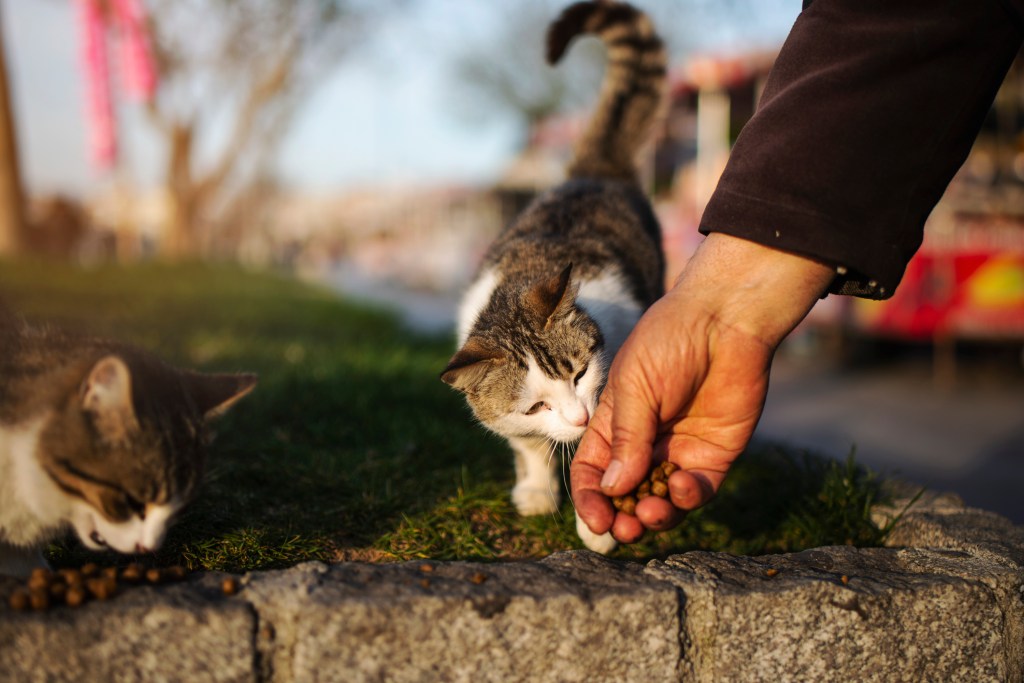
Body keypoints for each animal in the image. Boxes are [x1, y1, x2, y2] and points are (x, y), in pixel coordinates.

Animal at [442, 0, 667, 552]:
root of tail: (592, 173)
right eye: (535, 406)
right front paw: (538, 492)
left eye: (580, 374)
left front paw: (596, 529)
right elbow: (529, 448)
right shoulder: (511, 423)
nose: (581, 417)